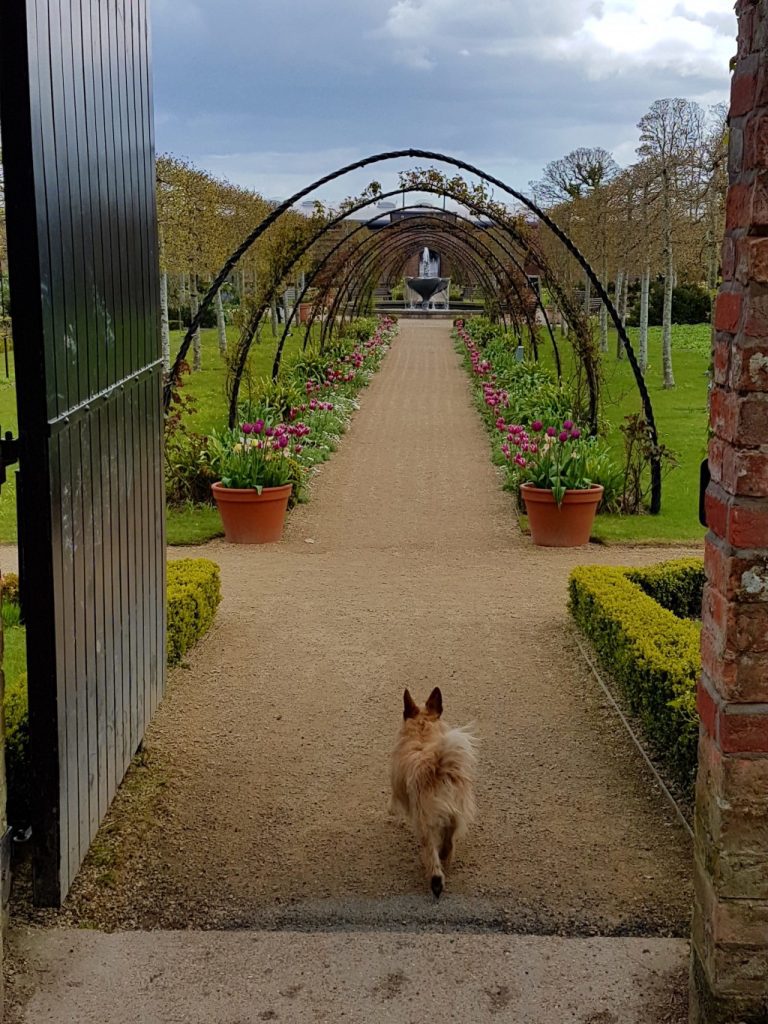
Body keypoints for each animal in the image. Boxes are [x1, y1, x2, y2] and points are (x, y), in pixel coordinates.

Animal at [391, 688, 475, 897]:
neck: (422, 733)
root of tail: (438, 767)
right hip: (455, 813)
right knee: (449, 840)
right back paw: (445, 855)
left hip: (424, 822)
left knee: (431, 852)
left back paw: (436, 882)